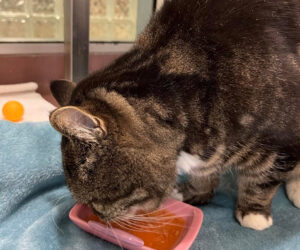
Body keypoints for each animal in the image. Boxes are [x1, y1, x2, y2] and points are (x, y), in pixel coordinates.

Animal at [49, 0, 300, 230]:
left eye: (97, 201)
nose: (98, 216)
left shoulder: (284, 143)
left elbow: (263, 181)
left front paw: (253, 212)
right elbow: (205, 172)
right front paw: (193, 191)